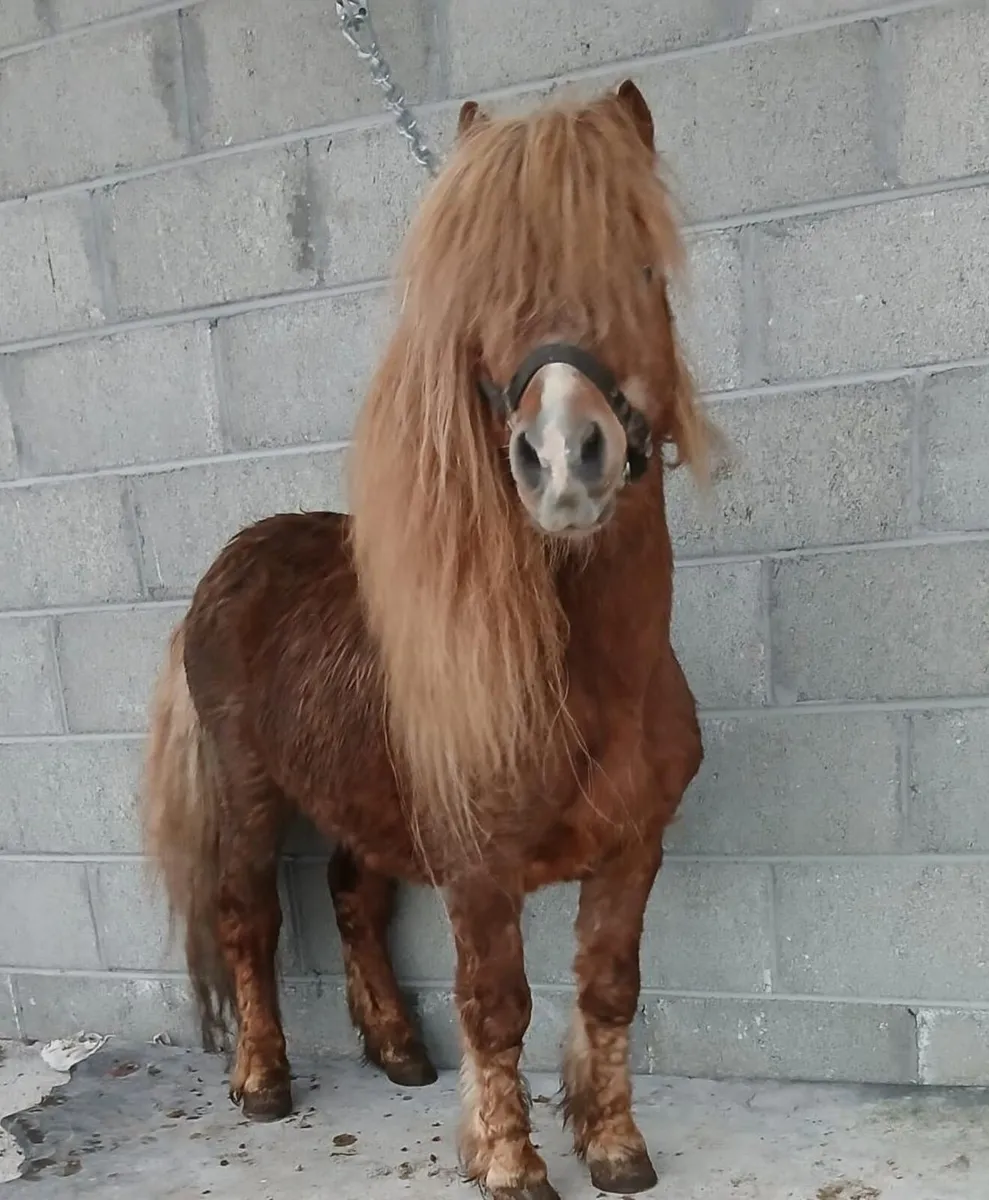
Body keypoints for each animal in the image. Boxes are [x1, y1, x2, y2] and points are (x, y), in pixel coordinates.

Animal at [141, 79, 714, 1200]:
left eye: (639, 267)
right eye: (483, 299)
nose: (563, 458)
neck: (584, 683)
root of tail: (231, 563)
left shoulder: (634, 852)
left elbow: (608, 990)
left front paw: (613, 1146)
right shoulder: (478, 872)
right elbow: (497, 1007)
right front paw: (509, 1163)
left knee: (352, 897)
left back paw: (398, 1050)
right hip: (248, 796)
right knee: (248, 918)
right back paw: (263, 1080)